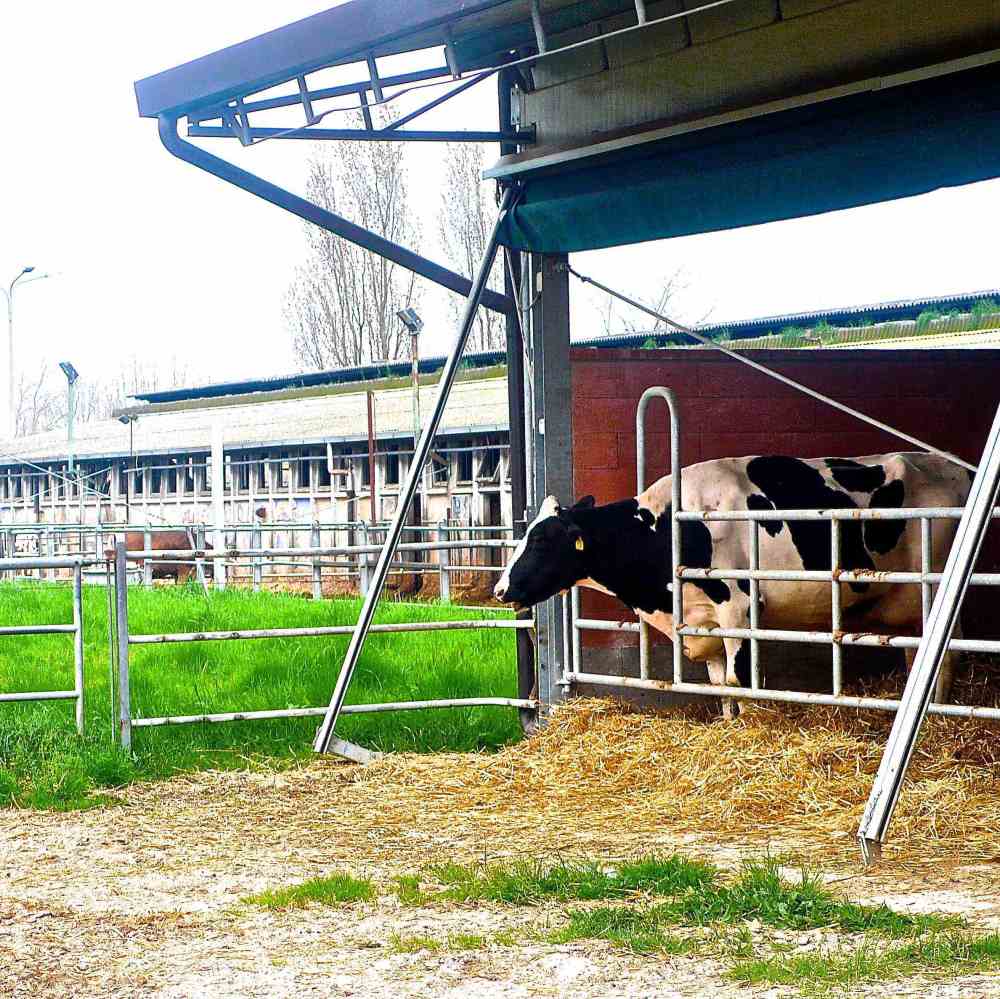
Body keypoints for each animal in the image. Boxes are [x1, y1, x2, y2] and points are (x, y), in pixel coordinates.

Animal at [496, 454, 972, 712]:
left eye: (541, 540)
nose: (500, 590)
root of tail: (954, 468)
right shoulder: (703, 621)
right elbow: (721, 686)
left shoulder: (738, 611)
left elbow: (740, 679)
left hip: (938, 593)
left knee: (945, 658)